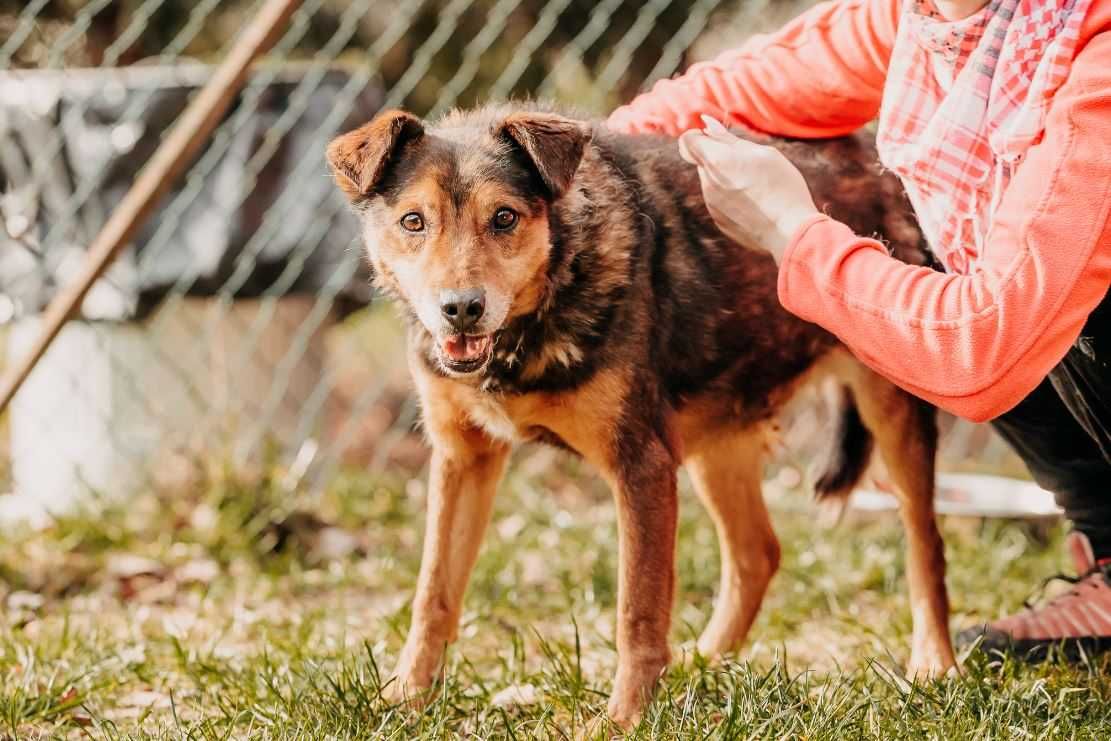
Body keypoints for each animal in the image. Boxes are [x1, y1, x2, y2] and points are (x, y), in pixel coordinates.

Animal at [324, 104, 959, 724]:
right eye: (413, 222)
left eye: (503, 218)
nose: (460, 309)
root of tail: (873, 155)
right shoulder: (463, 458)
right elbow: (433, 591)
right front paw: (402, 700)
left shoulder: (642, 465)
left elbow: (638, 610)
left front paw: (622, 720)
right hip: (715, 436)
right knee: (757, 552)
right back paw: (700, 664)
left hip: (894, 406)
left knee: (923, 545)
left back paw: (934, 664)